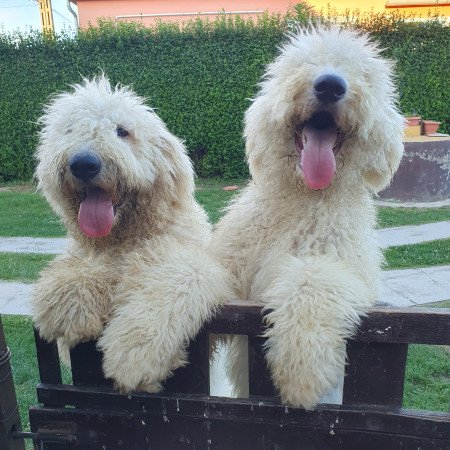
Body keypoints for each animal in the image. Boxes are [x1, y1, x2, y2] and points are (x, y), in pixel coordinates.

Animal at [32, 77, 234, 394]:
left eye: (122, 131)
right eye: (70, 130)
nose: (84, 163)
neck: (125, 238)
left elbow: (180, 275)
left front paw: (137, 351)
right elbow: (79, 269)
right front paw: (71, 300)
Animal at [211, 26, 404, 410]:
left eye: (364, 74)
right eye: (301, 64)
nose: (330, 85)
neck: (306, 199)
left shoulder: (346, 266)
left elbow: (314, 277)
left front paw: (302, 368)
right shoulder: (231, 273)